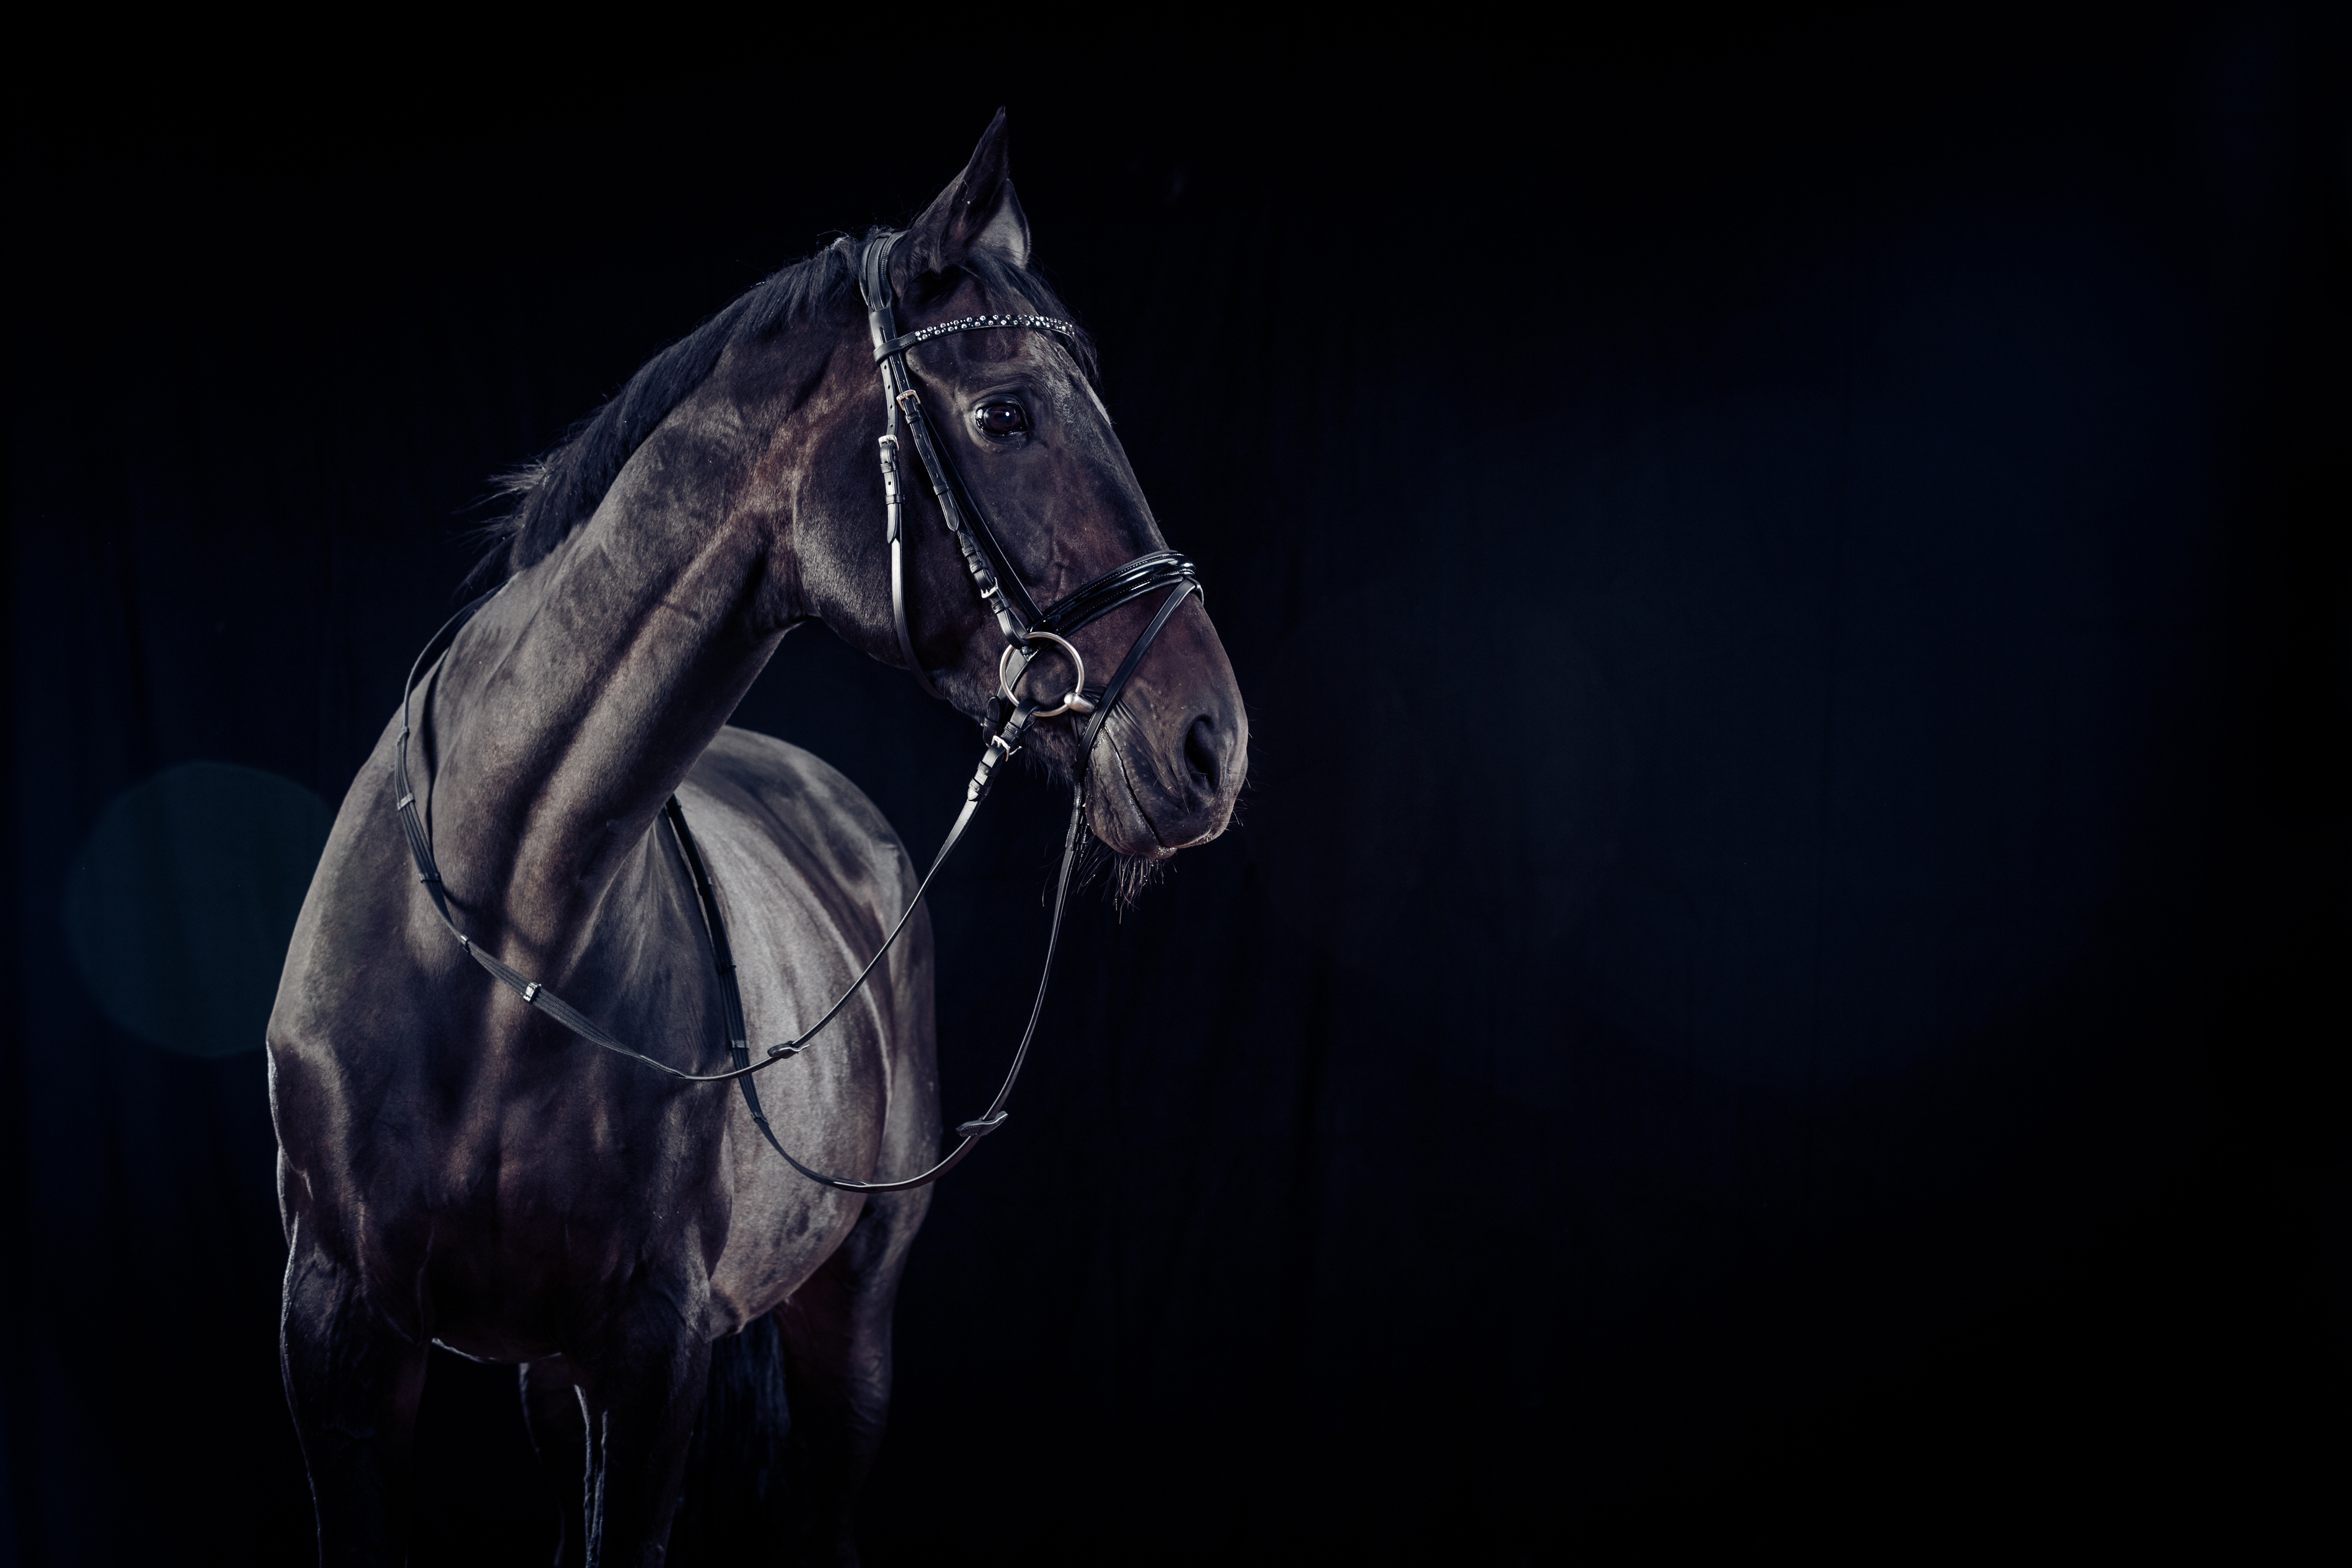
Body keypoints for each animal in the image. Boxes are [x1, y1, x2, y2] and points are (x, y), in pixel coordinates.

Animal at [270, 116, 1251, 1560]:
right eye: (1005, 415)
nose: (1209, 744)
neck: (500, 940)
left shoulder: (653, 1358)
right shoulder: (340, 1344)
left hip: (852, 1310)